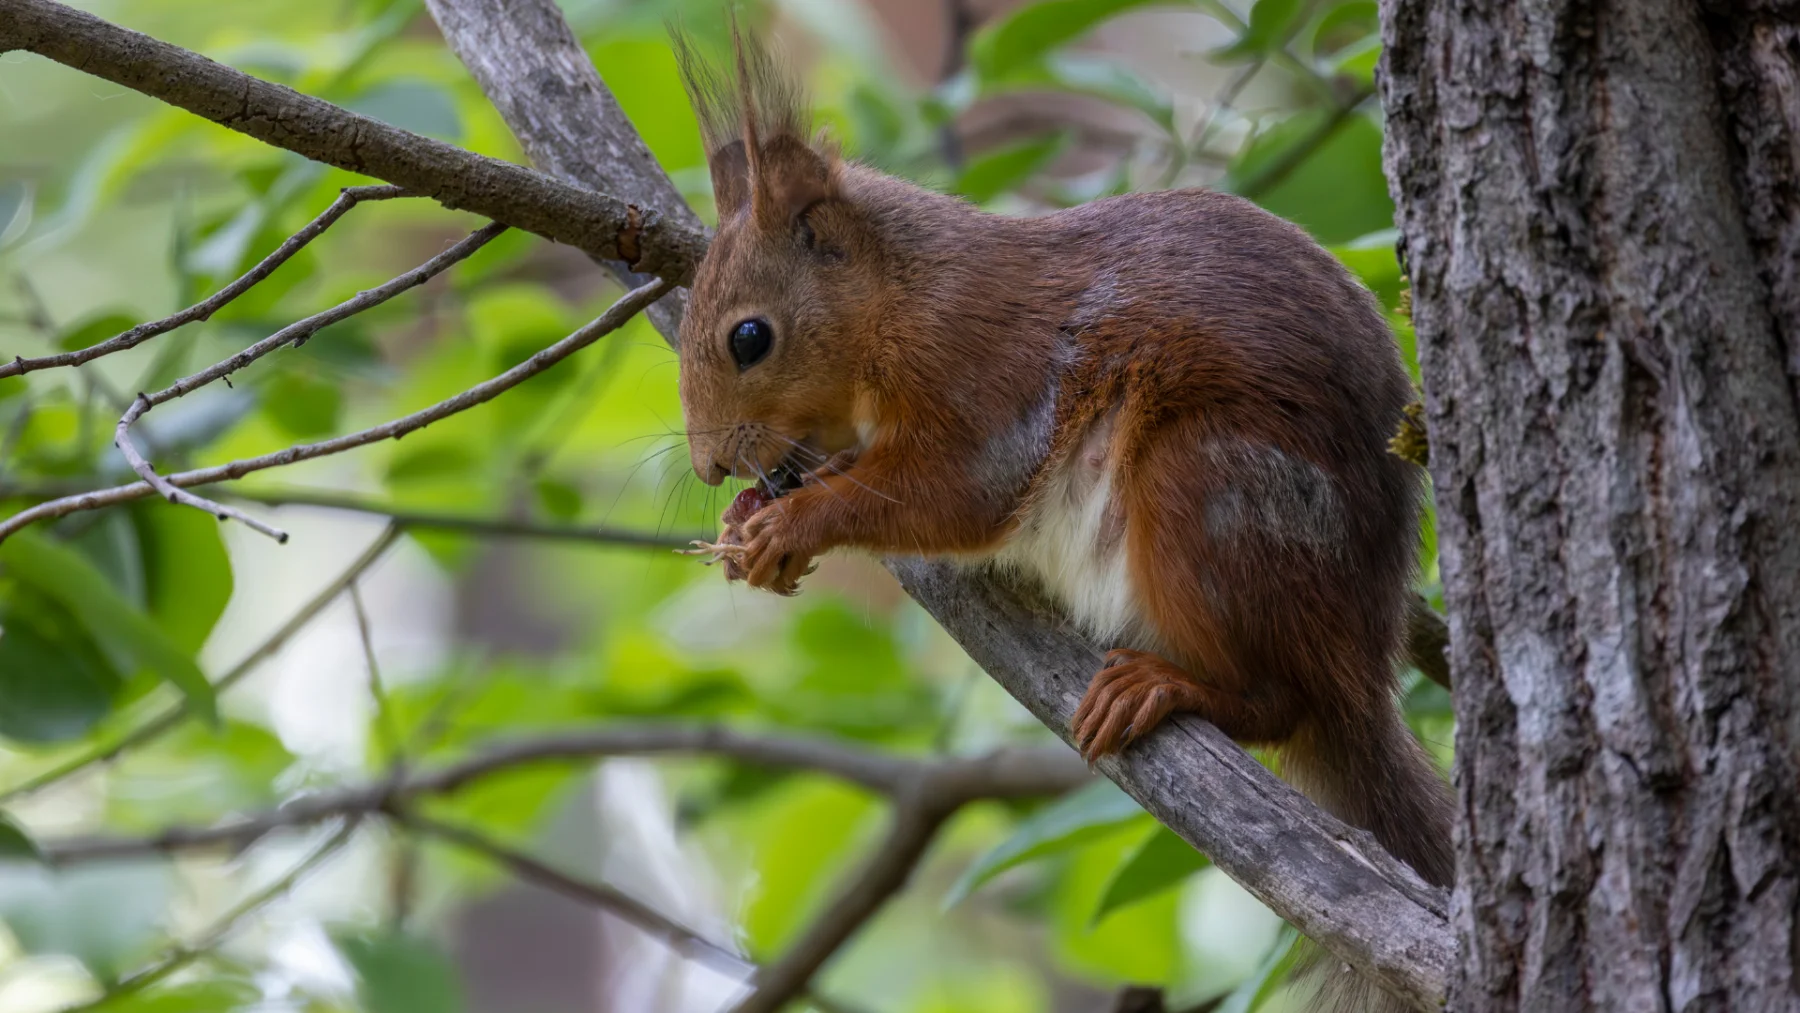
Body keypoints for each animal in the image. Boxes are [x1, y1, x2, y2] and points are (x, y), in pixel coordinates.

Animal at [671, 25, 1452, 1009]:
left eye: (750, 337)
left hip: (1207, 490)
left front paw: (793, 523)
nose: (709, 464)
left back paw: (1168, 687)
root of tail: (1361, 658)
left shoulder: (981, 377)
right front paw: (748, 517)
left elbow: (947, 496)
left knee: (1281, 699)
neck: (897, 295)